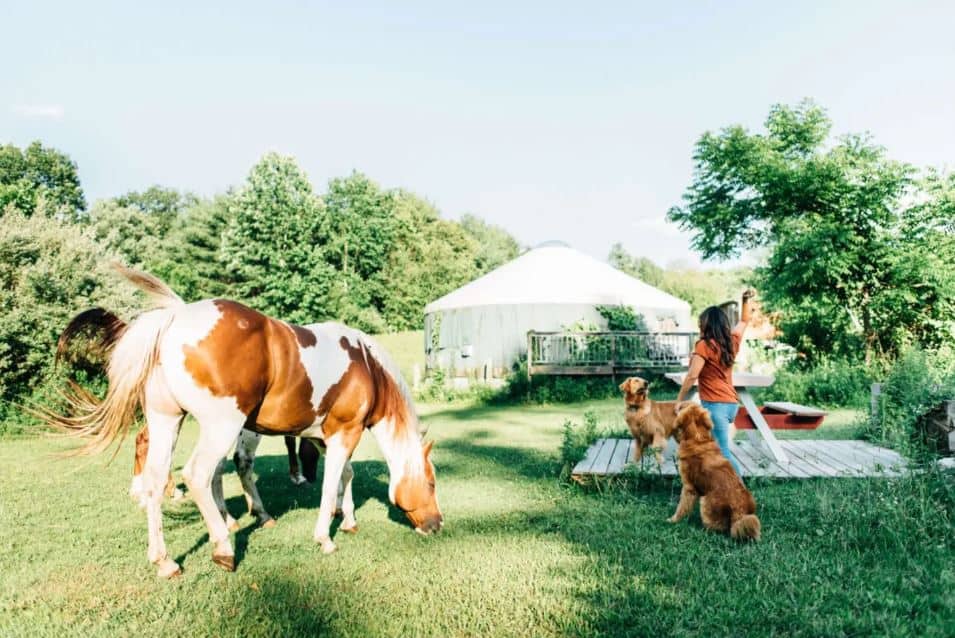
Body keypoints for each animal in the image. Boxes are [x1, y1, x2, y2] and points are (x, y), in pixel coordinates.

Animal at [46, 264, 442, 580]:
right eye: (432, 483)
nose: (437, 525)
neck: (367, 367)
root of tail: (175, 318)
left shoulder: (322, 437)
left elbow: (345, 475)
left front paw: (347, 519)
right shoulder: (345, 433)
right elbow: (332, 485)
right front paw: (325, 536)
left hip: (168, 421)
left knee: (157, 480)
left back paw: (164, 560)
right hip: (220, 427)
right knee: (199, 475)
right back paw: (223, 547)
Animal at [664, 402, 760, 544]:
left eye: (682, 406)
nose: (676, 406)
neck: (697, 437)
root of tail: (740, 511)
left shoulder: (688, 487)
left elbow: (682, 507)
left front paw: (673, 520)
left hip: (705, 500)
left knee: (720, 527)